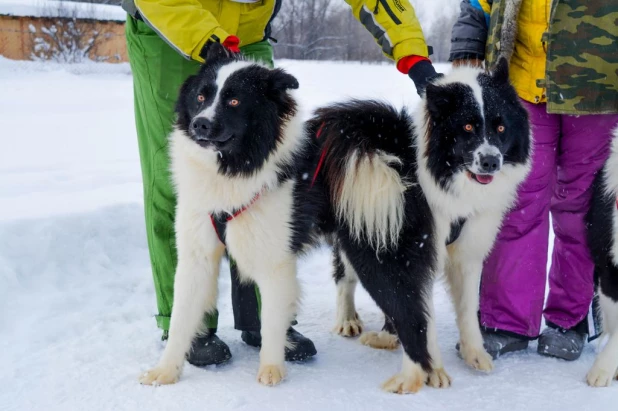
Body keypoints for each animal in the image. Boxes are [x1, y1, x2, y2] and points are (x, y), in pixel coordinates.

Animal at [328, 58, 528, 386]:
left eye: (500, 127)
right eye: (467, 127)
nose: (491, 162)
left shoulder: (468, 250)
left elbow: (468, 306)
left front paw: (474, 353)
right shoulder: (415, 251)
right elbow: (420, 309)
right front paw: (433, 370)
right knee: (346, 274)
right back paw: (348, 319)